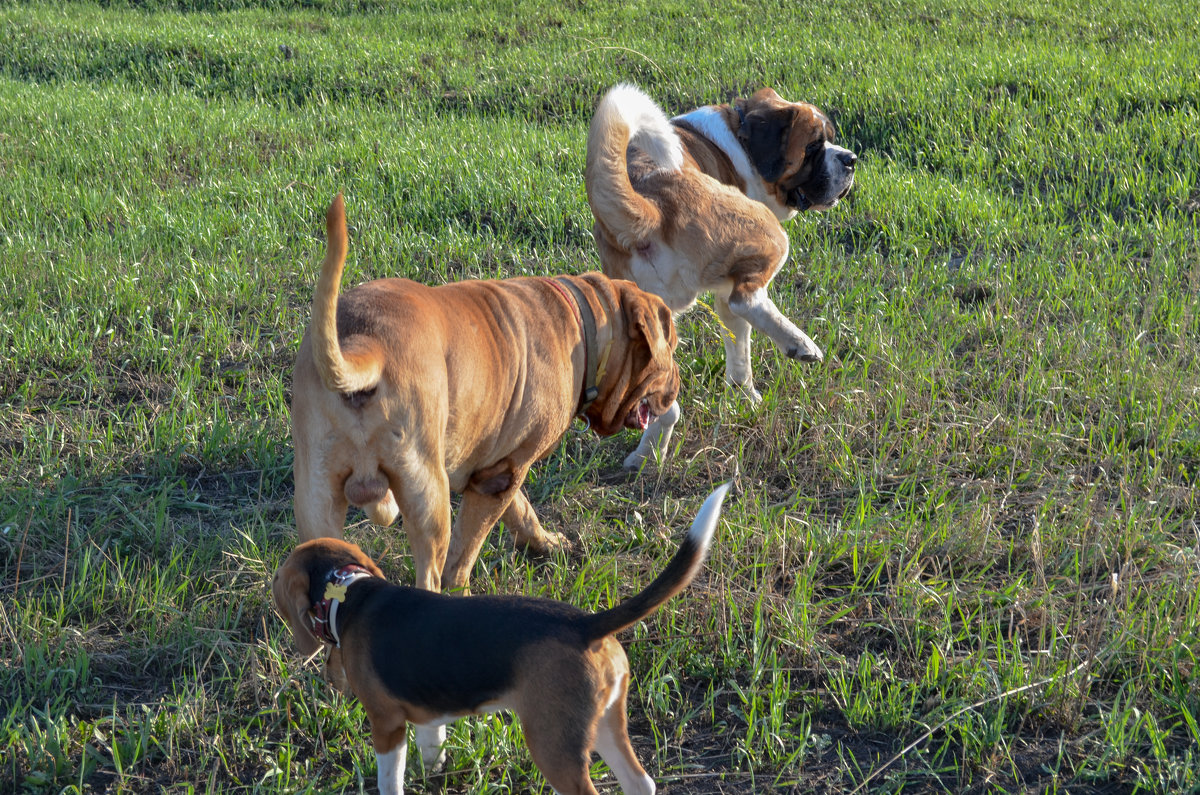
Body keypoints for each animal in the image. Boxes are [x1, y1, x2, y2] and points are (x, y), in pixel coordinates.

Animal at [290, 198, 681, 598]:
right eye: (672, 344)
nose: (677, 385)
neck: (587, 328)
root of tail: (365, 344)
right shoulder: (501, 475)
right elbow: (465, 552)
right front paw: (464, 588)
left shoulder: (500, 466)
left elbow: (522, 512)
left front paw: (545, 543)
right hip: (428, 498)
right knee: (431, 574)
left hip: (316, 498)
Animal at [583, 84, 854, 470]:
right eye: (814, 146)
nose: (850, 159)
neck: (739, 137)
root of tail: (653, 203)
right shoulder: (734, 279)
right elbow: (741, 327)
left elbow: (738, 351)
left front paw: (744, 396)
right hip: (770, 234)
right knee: (748, 300)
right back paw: (800, 344)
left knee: (662, 401)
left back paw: (647, 456)